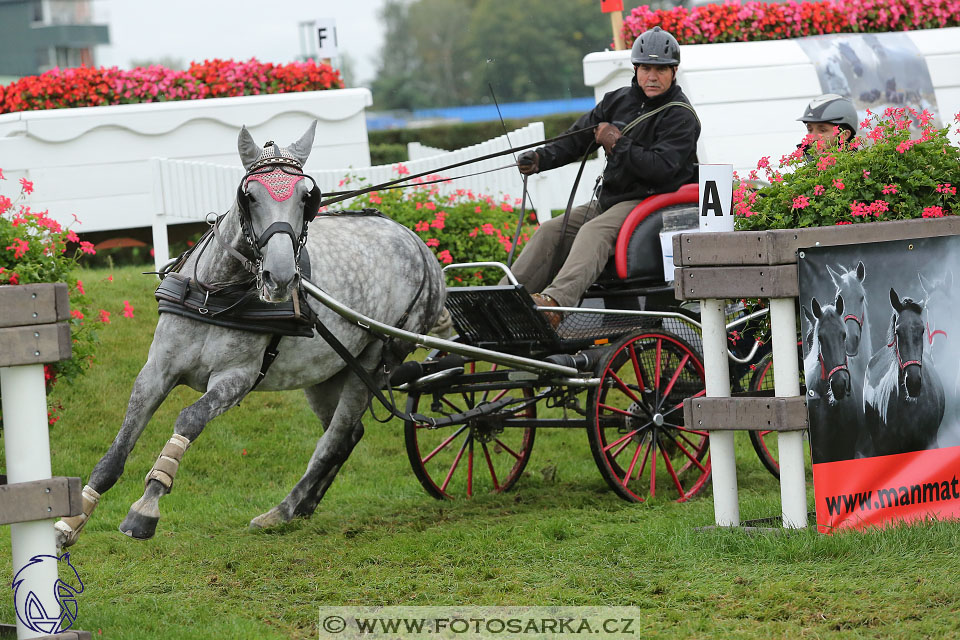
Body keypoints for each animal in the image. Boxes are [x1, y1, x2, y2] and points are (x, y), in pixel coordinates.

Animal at [58, 124, 448, 544]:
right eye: (250, 195)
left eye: (306, 197)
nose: (281, 277)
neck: (214, 296)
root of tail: (420, 246)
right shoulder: (157, 371)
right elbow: (118, 448)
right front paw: (72, 520)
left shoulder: (237, 378)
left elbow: (189, 419)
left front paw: (146, 506)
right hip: (328, 372)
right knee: (348, 434)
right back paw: (305, 504)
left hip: (376, 359)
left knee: (334, 437)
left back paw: (282, 510)